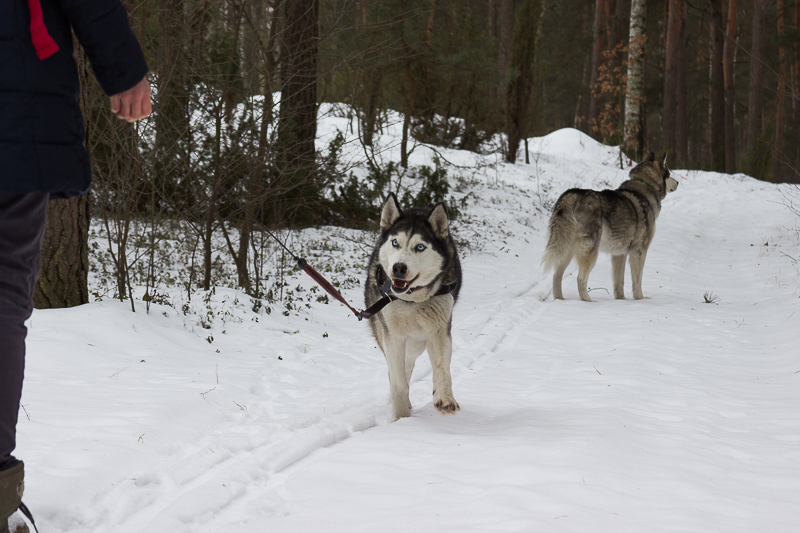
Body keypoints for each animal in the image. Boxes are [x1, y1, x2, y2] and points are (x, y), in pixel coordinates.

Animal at [365, 193, 462, 421]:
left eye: (420, 247)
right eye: (395, 243)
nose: (398, 268)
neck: (411, 301)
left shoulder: (438, 330)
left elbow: (442, 368)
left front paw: (445, 397)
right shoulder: (393, 336)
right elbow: (399, 383)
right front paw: (401, 419)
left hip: (418, 342)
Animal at [541, 152, 679, 302]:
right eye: (669, 173)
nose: (678, 182)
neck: (645, 186)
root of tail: (571, 196)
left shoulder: (619, 253)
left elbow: (619, 282)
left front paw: (621, 300)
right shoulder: (639, 251)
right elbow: (637, 281)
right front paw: (640, 299)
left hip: (566, 250)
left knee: (556, 276)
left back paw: (560, 300)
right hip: (590, 251)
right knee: (580, 278)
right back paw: (588, 301)